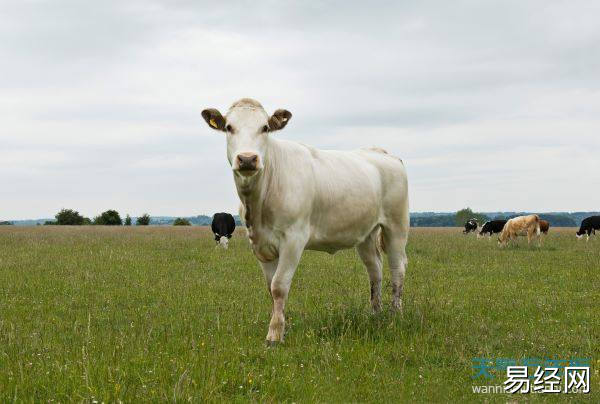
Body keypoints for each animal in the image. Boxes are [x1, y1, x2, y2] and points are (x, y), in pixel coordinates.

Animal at [202, 98, 408, 344]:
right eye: (228, 127)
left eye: (265, 128)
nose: (247, 159)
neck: (259, 203)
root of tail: (381, 152)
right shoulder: (260, 245)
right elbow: (270, 288)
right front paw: (281, 327)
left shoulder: (294, 239)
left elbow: (279, 286)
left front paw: (274, 335)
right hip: (366, 233)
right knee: (374, 269)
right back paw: (375, 314)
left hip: (396, 225)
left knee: (397, 268)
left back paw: (395, 315)